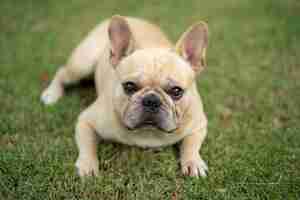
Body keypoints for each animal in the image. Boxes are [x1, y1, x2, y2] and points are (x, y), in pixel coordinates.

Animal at [40, 16, 209, 178]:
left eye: (176, 91)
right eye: (129, 86)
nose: (151, 100)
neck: (148, 132)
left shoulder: (199, 125)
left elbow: (191, 144)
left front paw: (193, 162)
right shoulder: (86, 121)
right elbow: (88, 145)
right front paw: (87, 165)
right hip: (81, 65)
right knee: (62, 72)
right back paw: (51, 93)